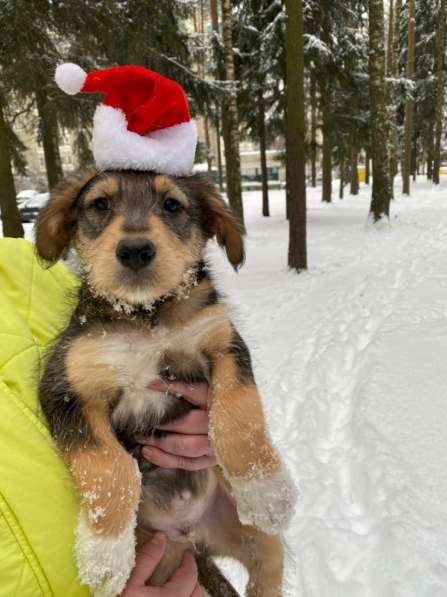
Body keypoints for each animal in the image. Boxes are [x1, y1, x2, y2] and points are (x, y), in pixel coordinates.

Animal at [34, 169, 294, 596]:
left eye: (172, 204)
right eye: (100, 204)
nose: (135, 250)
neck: (145, 315)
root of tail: (191, 535)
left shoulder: (223, 343)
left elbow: (238, 414)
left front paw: (265, 488)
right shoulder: (68, 386)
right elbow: (108, 465)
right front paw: (104, 555)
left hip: (262, 543)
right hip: (162, 558)